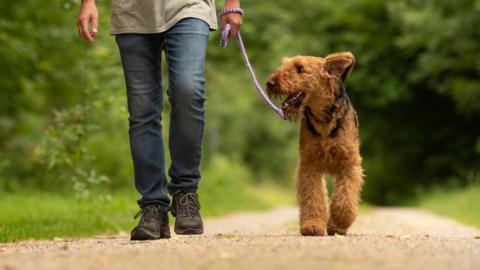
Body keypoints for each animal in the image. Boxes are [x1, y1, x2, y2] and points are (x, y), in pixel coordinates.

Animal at [266, 51, 364, 235]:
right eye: (284, 65)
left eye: (300, 68)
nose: (270, 83)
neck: (323, 120)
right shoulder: (309, 165)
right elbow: (313, 197)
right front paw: (312, 226)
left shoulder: (349, 163)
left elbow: (344, 199)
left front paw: (339, 221)